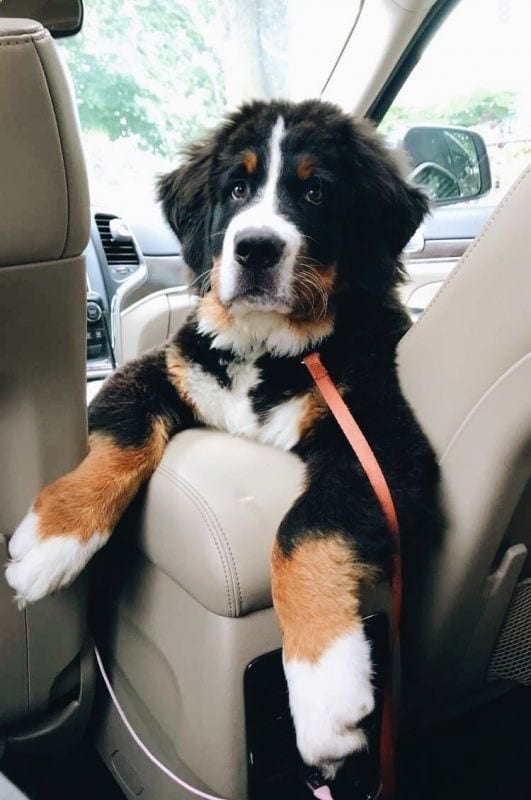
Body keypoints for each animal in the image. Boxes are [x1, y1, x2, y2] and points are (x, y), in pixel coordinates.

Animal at [7, 98, 440, 776]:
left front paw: (324, 691)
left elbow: (303, 531)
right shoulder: (157, 370)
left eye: (315, 191)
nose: (256, 248)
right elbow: (124, 442)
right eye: (237, 188)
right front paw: (52, 545)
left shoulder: (382, 443)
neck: (268, 348)